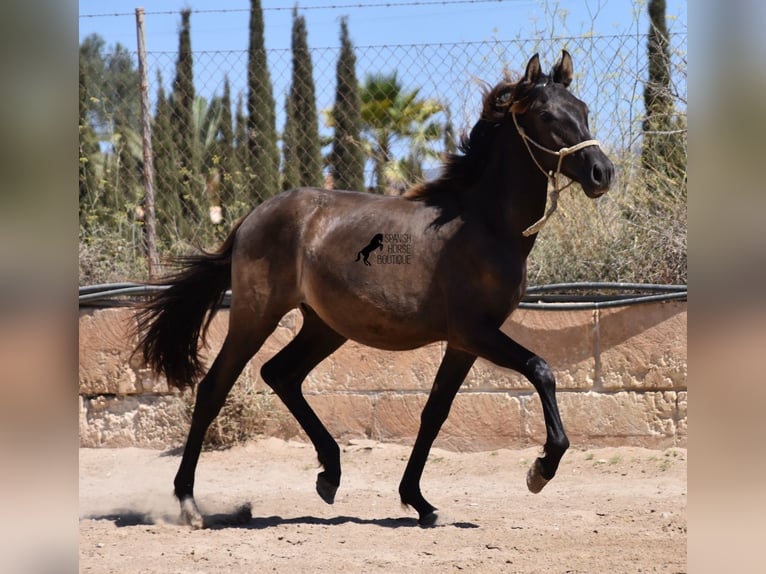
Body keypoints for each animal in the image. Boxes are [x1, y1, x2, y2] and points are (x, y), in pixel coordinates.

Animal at [135, 51, 616, 528]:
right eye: (546, 115)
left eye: (584, 110)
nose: (602, 172)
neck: (483, 226)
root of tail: (252, 217)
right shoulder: (475, 332)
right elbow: (540, 369)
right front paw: (541, 469)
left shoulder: (463, 343)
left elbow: (435, 412)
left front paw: (418, 501)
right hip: (255, 316)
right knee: (214, 388)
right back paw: (189, 503)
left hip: (325, 326)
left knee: (280, 374)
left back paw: (329, 474)